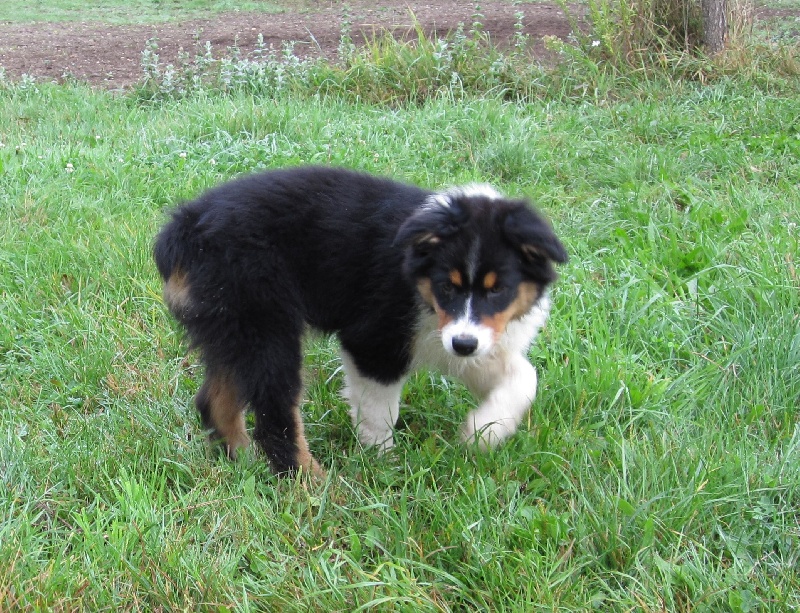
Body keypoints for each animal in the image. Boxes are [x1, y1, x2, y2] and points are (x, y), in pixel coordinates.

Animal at [155, 165, 568, 476]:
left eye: (499, 291)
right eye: (445, 286)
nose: (464, 345)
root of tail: (183, 228)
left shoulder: (462, 341)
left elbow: (524, 379)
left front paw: (481, 434)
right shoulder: (374, 340)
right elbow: (379, 408)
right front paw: (382, 463)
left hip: (231, 325)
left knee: (214, 401)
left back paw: (243, 461)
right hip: (265, 324)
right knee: (276, 416)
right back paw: (312, 484)